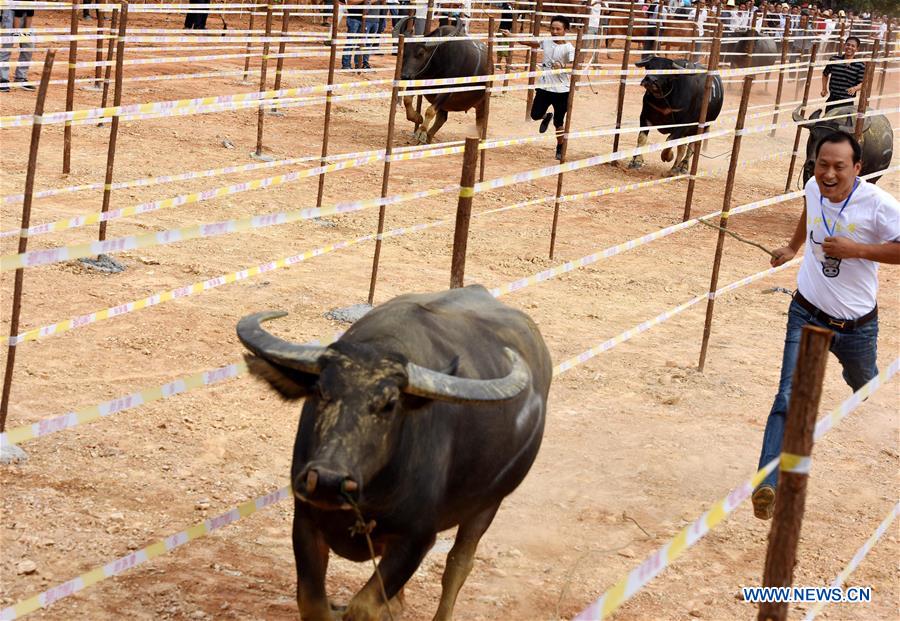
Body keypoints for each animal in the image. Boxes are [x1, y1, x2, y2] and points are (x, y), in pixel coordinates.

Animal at [236, 284, 552, 621]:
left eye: (389, 404)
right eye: (320, 390)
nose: (327, 481)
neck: (369, 494)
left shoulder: (416, 539)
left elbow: (364, 608)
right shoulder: (306, 520)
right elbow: (312, 603)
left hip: (488, 504)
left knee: (458, 565)